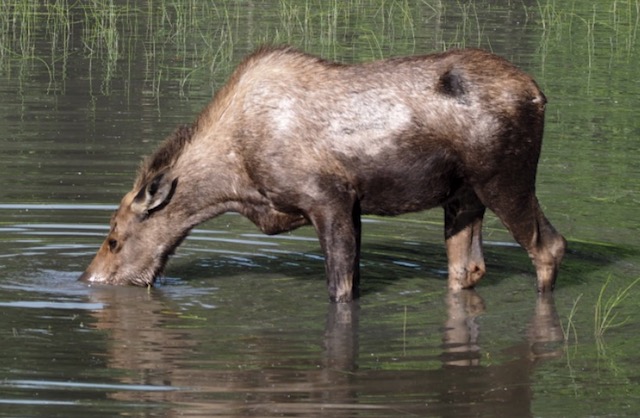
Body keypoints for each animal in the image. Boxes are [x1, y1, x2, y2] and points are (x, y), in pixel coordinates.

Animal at [79, 45, 564, 302]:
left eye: (114, 239)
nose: (89, 280)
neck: (235, 184)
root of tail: (540, 95)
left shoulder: (329, 199)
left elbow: (341, 288)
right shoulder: (351, 207)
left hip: (505, 181)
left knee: (549, 247)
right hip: (462, 198)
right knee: (467, 268)